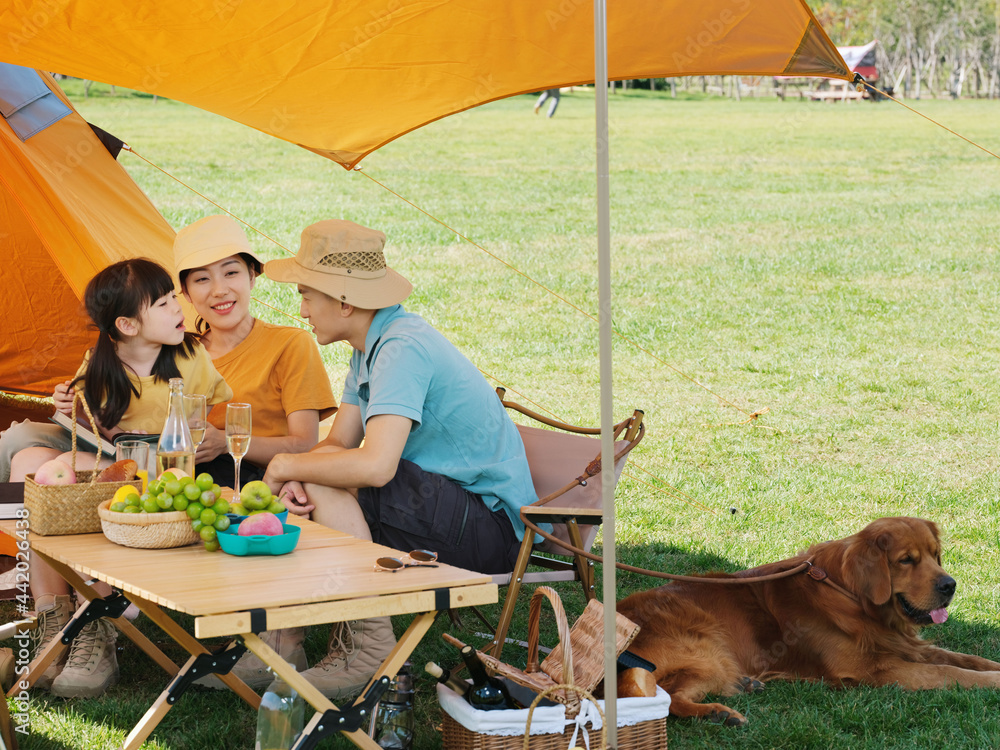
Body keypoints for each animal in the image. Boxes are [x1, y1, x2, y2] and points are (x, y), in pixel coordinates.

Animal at [616, 516, 1000, 728]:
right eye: (907, 560)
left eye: (936, 555)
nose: (950, 585)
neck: (852, 597)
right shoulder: (872, 670)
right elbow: (947, 672)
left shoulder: (907, 646)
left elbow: (966, 659)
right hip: (708, 648)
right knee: (669, 700)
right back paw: (718, 713)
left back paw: (742, 687)